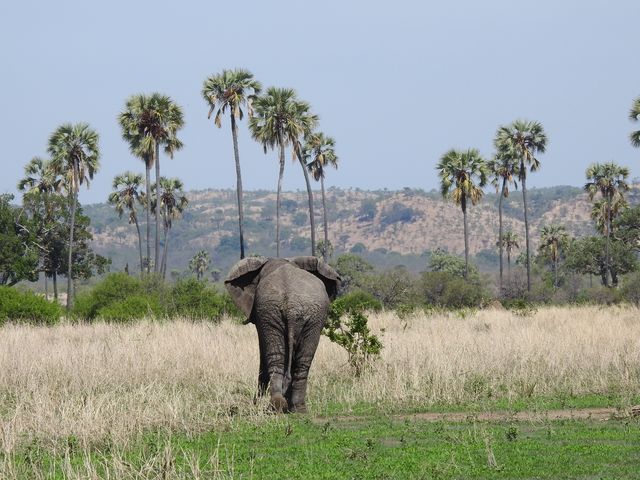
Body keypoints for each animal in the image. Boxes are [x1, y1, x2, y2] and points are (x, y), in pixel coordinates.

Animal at [228, 255, 342, 412]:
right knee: (301, 361)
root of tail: (291, 306)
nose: (255, 401)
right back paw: (294, 408)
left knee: (278, 357)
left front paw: (257, 402)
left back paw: (280, 406)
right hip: (297, 316)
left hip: (278, 312)